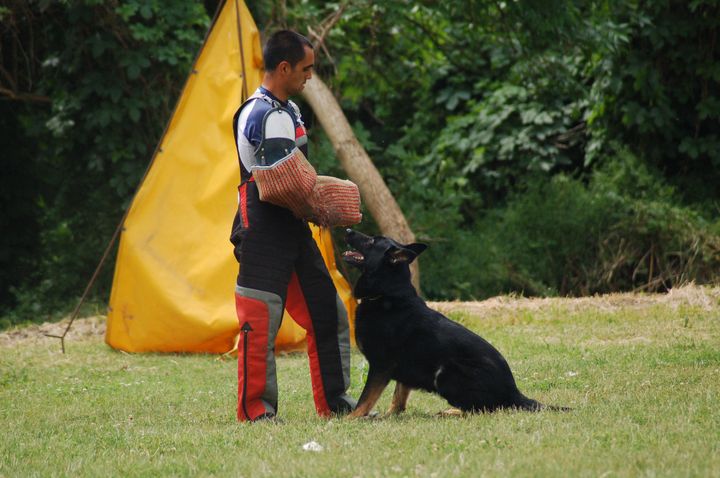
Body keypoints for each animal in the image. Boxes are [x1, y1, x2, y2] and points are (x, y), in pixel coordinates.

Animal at [344, 230, 568, 416]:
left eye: (372, 241)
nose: (347, 230)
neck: (386, 294)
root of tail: (513, 392)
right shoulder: (402, 368)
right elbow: (398, 397)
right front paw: (390, 415)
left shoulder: (380, 366)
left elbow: (364, 400)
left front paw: (350, 420)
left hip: (446, 374)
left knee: (484, 409)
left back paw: (451, 412)